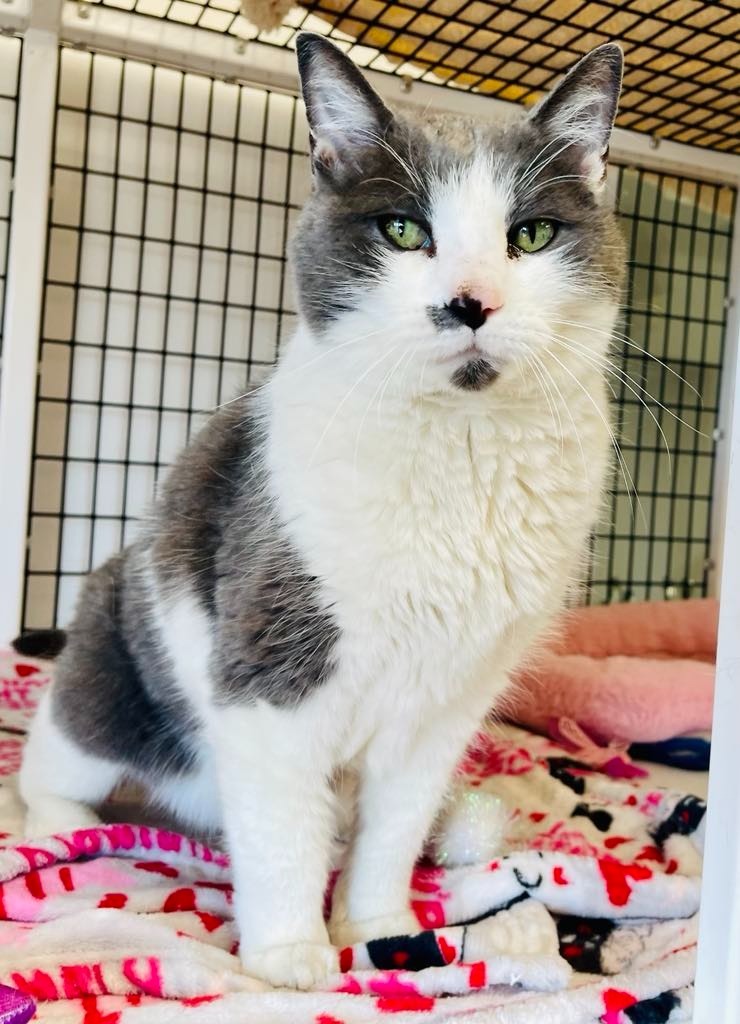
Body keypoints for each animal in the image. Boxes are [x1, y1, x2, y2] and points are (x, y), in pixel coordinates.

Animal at [18, 34, 626, 991]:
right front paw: (287, 959)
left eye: (530, 234)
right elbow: (281, 837)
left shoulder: (449, 704)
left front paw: (377, 926)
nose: (469, 301)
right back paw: (61, 831)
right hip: (109, 684)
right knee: (53, 761)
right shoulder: (271, 671)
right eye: (404, 230)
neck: (457, 449)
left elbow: (393, 827)